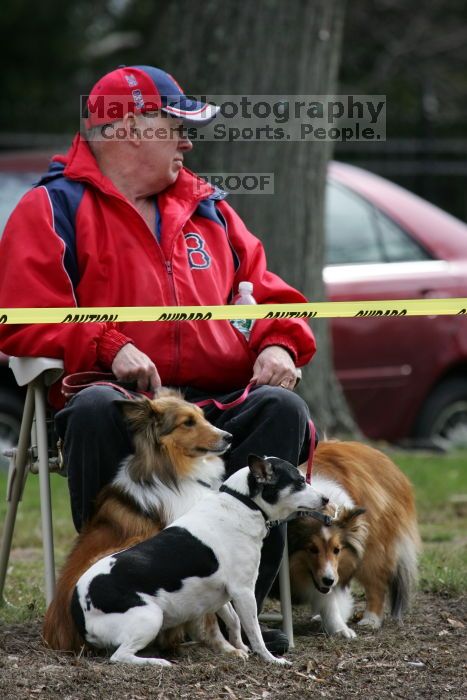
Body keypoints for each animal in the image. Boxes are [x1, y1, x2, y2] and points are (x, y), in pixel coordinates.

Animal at [43, 392, 231, 652]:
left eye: (203, 416)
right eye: (188, 422)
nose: (229, 437)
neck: (172, 473)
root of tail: (55, 636)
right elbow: (209, 614)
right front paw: (226, 648)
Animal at [71, 454, 330, 668]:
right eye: (299, 482)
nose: (327, 499)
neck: (242, 503)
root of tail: (76, 606)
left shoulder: (222, 594)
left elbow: (234, 622)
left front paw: (239, 648)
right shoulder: (243, 592)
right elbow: (254, 631)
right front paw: (270, 658)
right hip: (150, 617)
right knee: (119, 656)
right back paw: (156, 662)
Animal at [288, 442, 424, 640]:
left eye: (335, 549)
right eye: (311, 549)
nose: (328, 580)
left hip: (372, 551)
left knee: (376, 585)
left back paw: (371, 620)